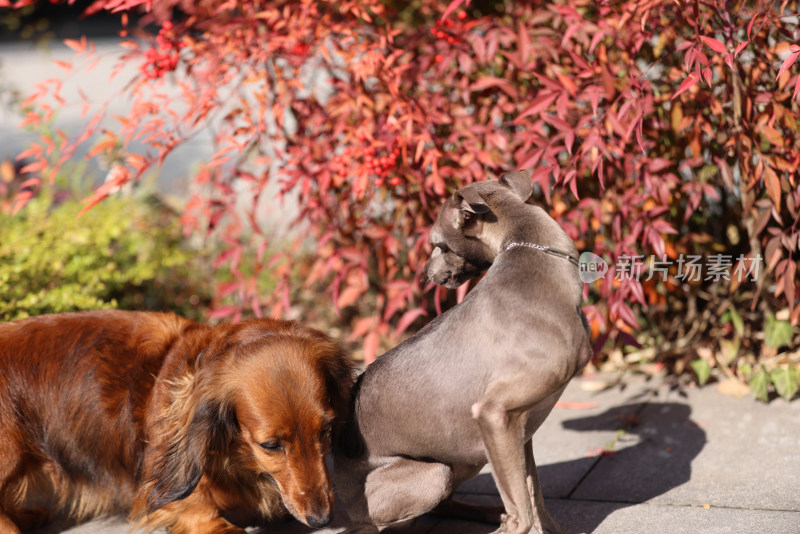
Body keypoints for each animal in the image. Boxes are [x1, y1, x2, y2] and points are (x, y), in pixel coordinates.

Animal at [334, 172, 592, 534]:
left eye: (440, 245)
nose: (426, 273)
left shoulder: (520, 430)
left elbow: (536, 500)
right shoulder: (493, 414)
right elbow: (523, 512)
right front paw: (511, 524)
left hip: (468, 455)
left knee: (447, 503)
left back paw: (486, 512)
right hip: (436, 470)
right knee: (374, 525)